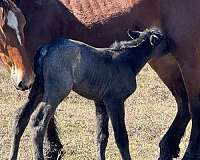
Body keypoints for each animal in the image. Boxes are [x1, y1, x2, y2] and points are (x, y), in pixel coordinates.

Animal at [0, 0, 199, 159]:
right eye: (4, 29)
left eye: (22, 24)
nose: (171, 45)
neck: (124, 60)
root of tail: (45, 49)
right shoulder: (113, 101)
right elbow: (120, 136)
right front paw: (53, 150)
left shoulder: (101, 102)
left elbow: (102, 136)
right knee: (36, 121)